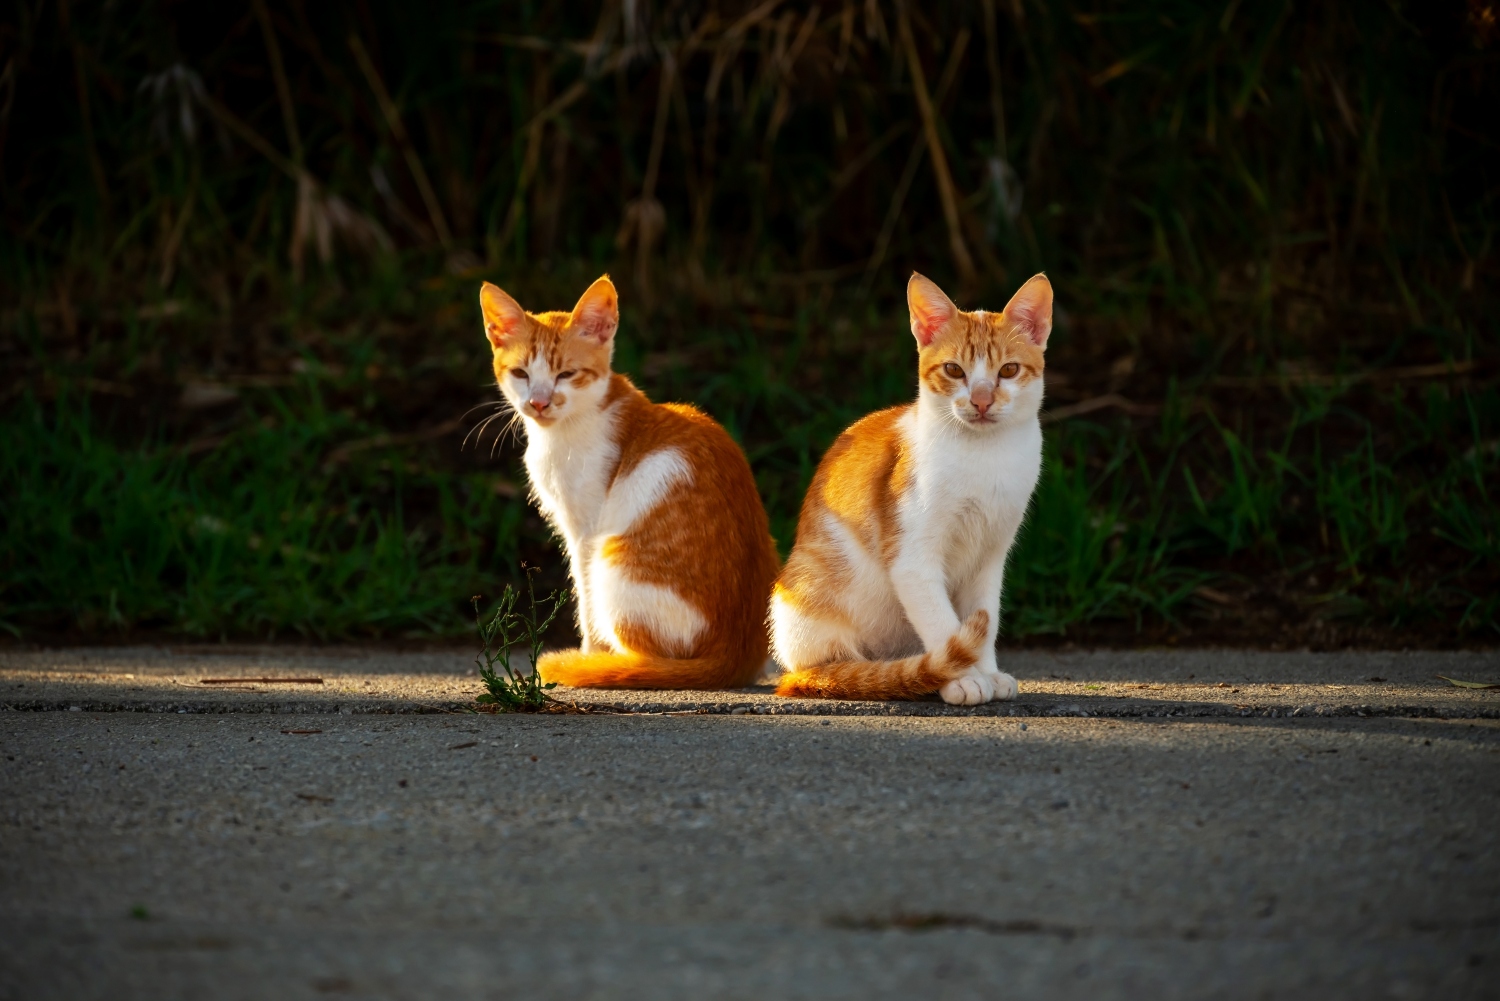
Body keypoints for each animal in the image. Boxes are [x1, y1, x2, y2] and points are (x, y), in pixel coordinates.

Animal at [483, 277, 786, 693]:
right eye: (521, 374)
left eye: (566, 375)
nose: (539, 403)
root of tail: (735, 656)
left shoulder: (585, 531)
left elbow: (584, 600)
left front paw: (589, 657)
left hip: (612, 562)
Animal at [768, 265, 1050, 705]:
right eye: (954, 370)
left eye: (1008, 370)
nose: (982, 401)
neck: (985, 458)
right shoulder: (913, 560)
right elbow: (942, 622)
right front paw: (963, 678)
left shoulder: (990, 556)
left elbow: (984, 616)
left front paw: (987, 671)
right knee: (834, 665)